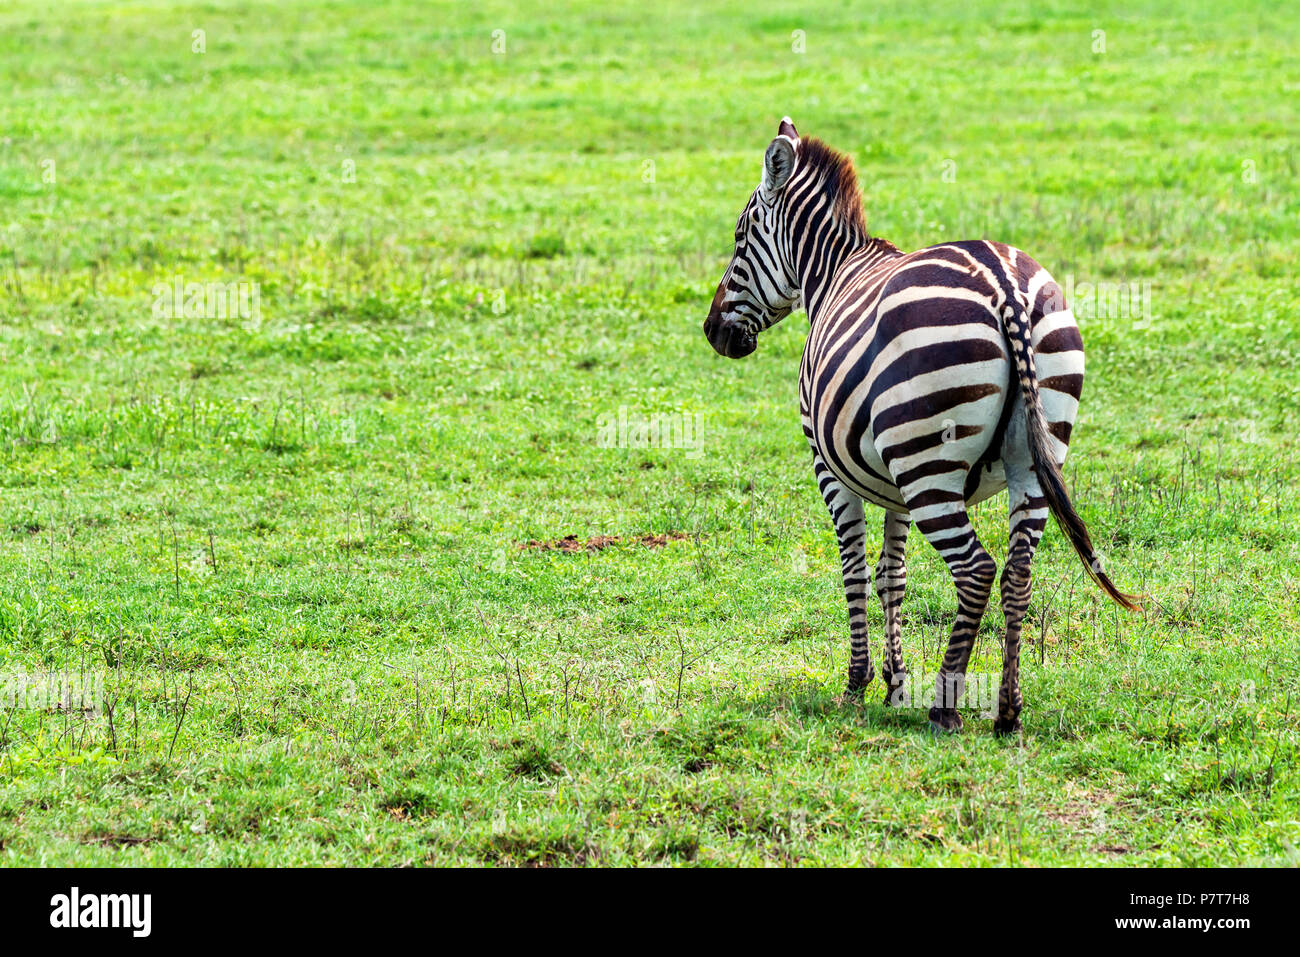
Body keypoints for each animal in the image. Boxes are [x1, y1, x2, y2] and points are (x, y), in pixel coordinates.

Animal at [702, 117, 1138, 733]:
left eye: (740, 240)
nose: (713, 332)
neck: (831, 273)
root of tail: (1004, 284)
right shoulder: (890, 482)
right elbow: (893, 576)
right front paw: (894, 683)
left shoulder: (831, 468)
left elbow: (857, 572)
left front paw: (858, 685)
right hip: (1030, 457)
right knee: (1018, 572)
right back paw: (1008, 711)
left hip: (928, 465)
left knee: (977, 569)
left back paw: (946, 706)